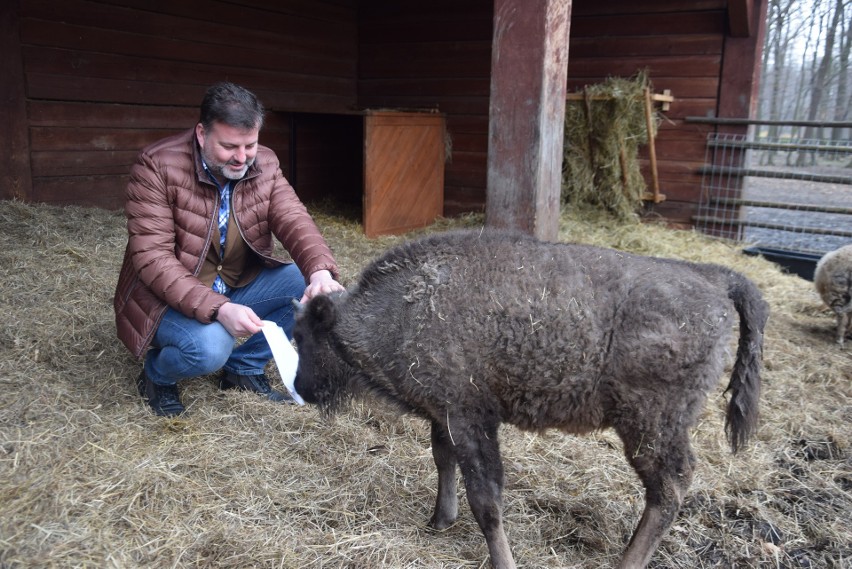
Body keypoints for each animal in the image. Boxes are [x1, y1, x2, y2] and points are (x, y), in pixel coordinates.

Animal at [294, 230, 772, 568]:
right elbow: (443, 461)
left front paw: (501, 560)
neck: (403, 307)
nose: (301, 387)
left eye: (303, 336)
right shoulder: (444, 415)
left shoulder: (470, 418)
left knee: (670, 487)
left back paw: (627, 562)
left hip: (649, 425)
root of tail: (716, 277)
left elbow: (486, 499)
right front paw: (439, 521)